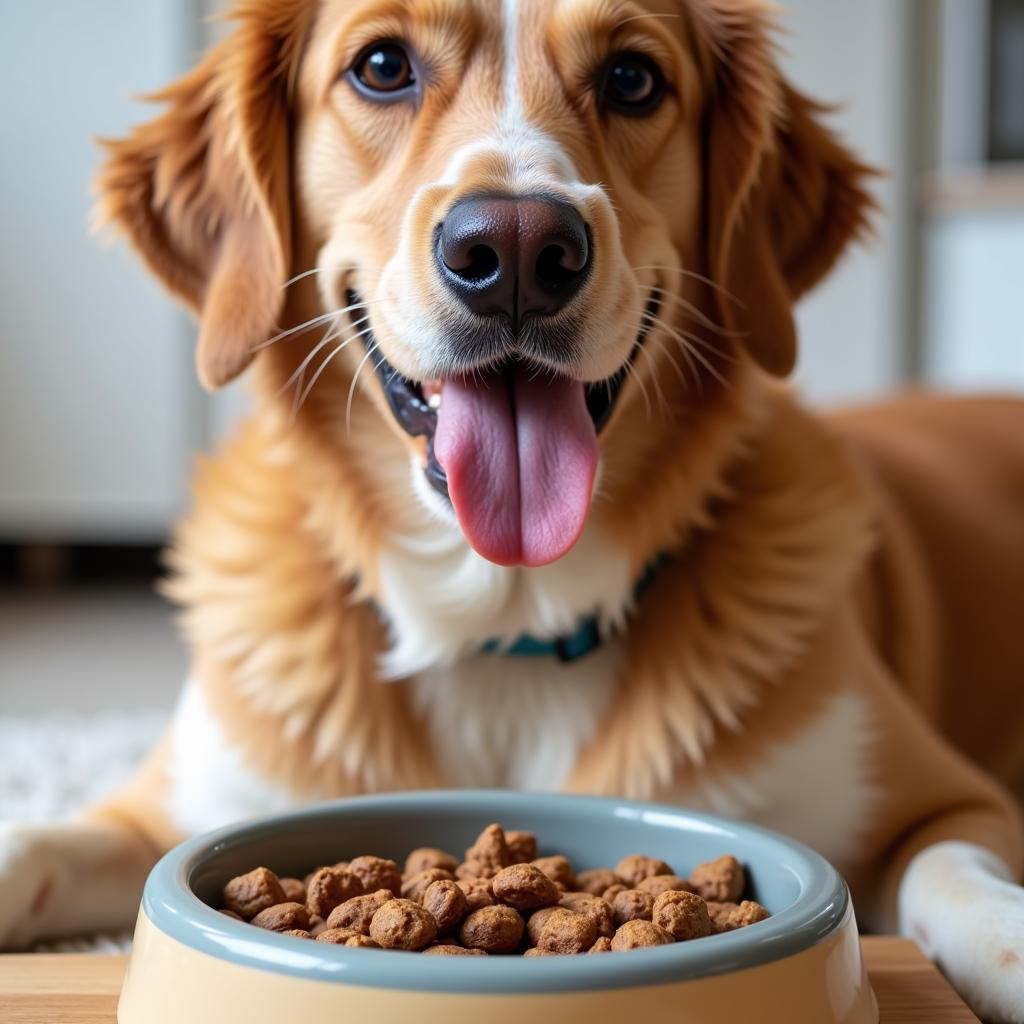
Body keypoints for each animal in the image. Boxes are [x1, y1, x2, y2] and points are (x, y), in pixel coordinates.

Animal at [2, 2, 1024, 1015]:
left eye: (632, 79)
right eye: (382, 66)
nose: (521, 250)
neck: (501, 619)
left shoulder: (955, 803)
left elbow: (955, 873)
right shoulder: (166, 811)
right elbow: (41, 840)